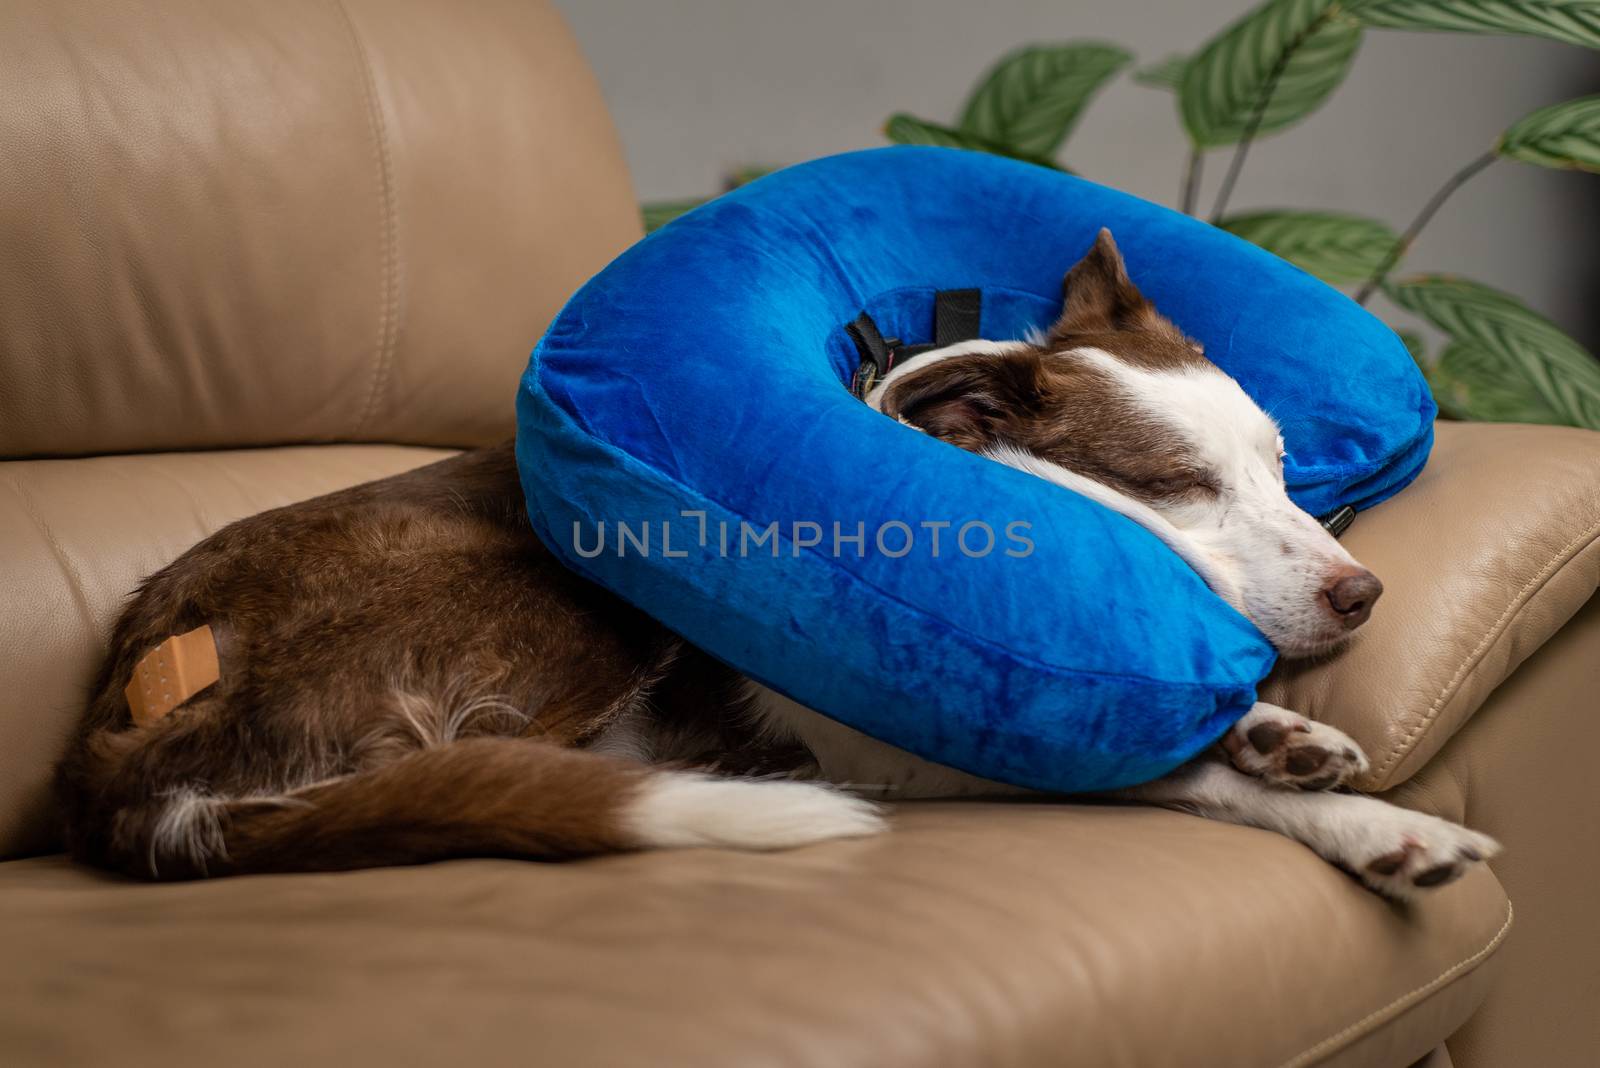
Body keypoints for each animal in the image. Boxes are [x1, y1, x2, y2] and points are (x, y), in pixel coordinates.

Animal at [53, 230, 1497, 895]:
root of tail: (122, 741)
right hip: (569, 610)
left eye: (1280, 467)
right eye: (1176, 487)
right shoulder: (911, 744)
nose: (1365, 594)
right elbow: (1178, 771)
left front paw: (1286, 738)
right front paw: (1379, 824)